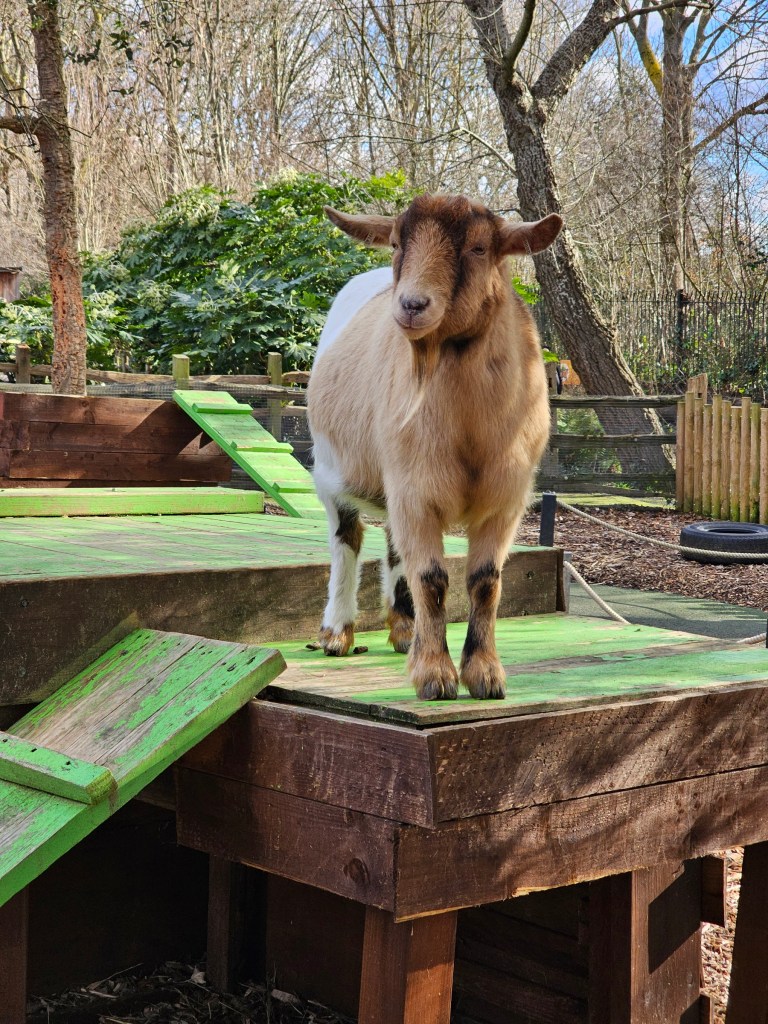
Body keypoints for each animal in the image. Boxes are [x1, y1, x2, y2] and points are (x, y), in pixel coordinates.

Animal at [307, 193, 562, 700]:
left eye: (480, 248)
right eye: (395, 242)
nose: (411, 305)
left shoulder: (505, 498)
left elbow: (484, 581)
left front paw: (484, 674)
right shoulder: (415, 488)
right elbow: (431, 577)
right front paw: (434, 674)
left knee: (392, 546)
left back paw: (404, 629)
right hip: (331, 467)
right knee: (347, 540)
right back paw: (338, 632)